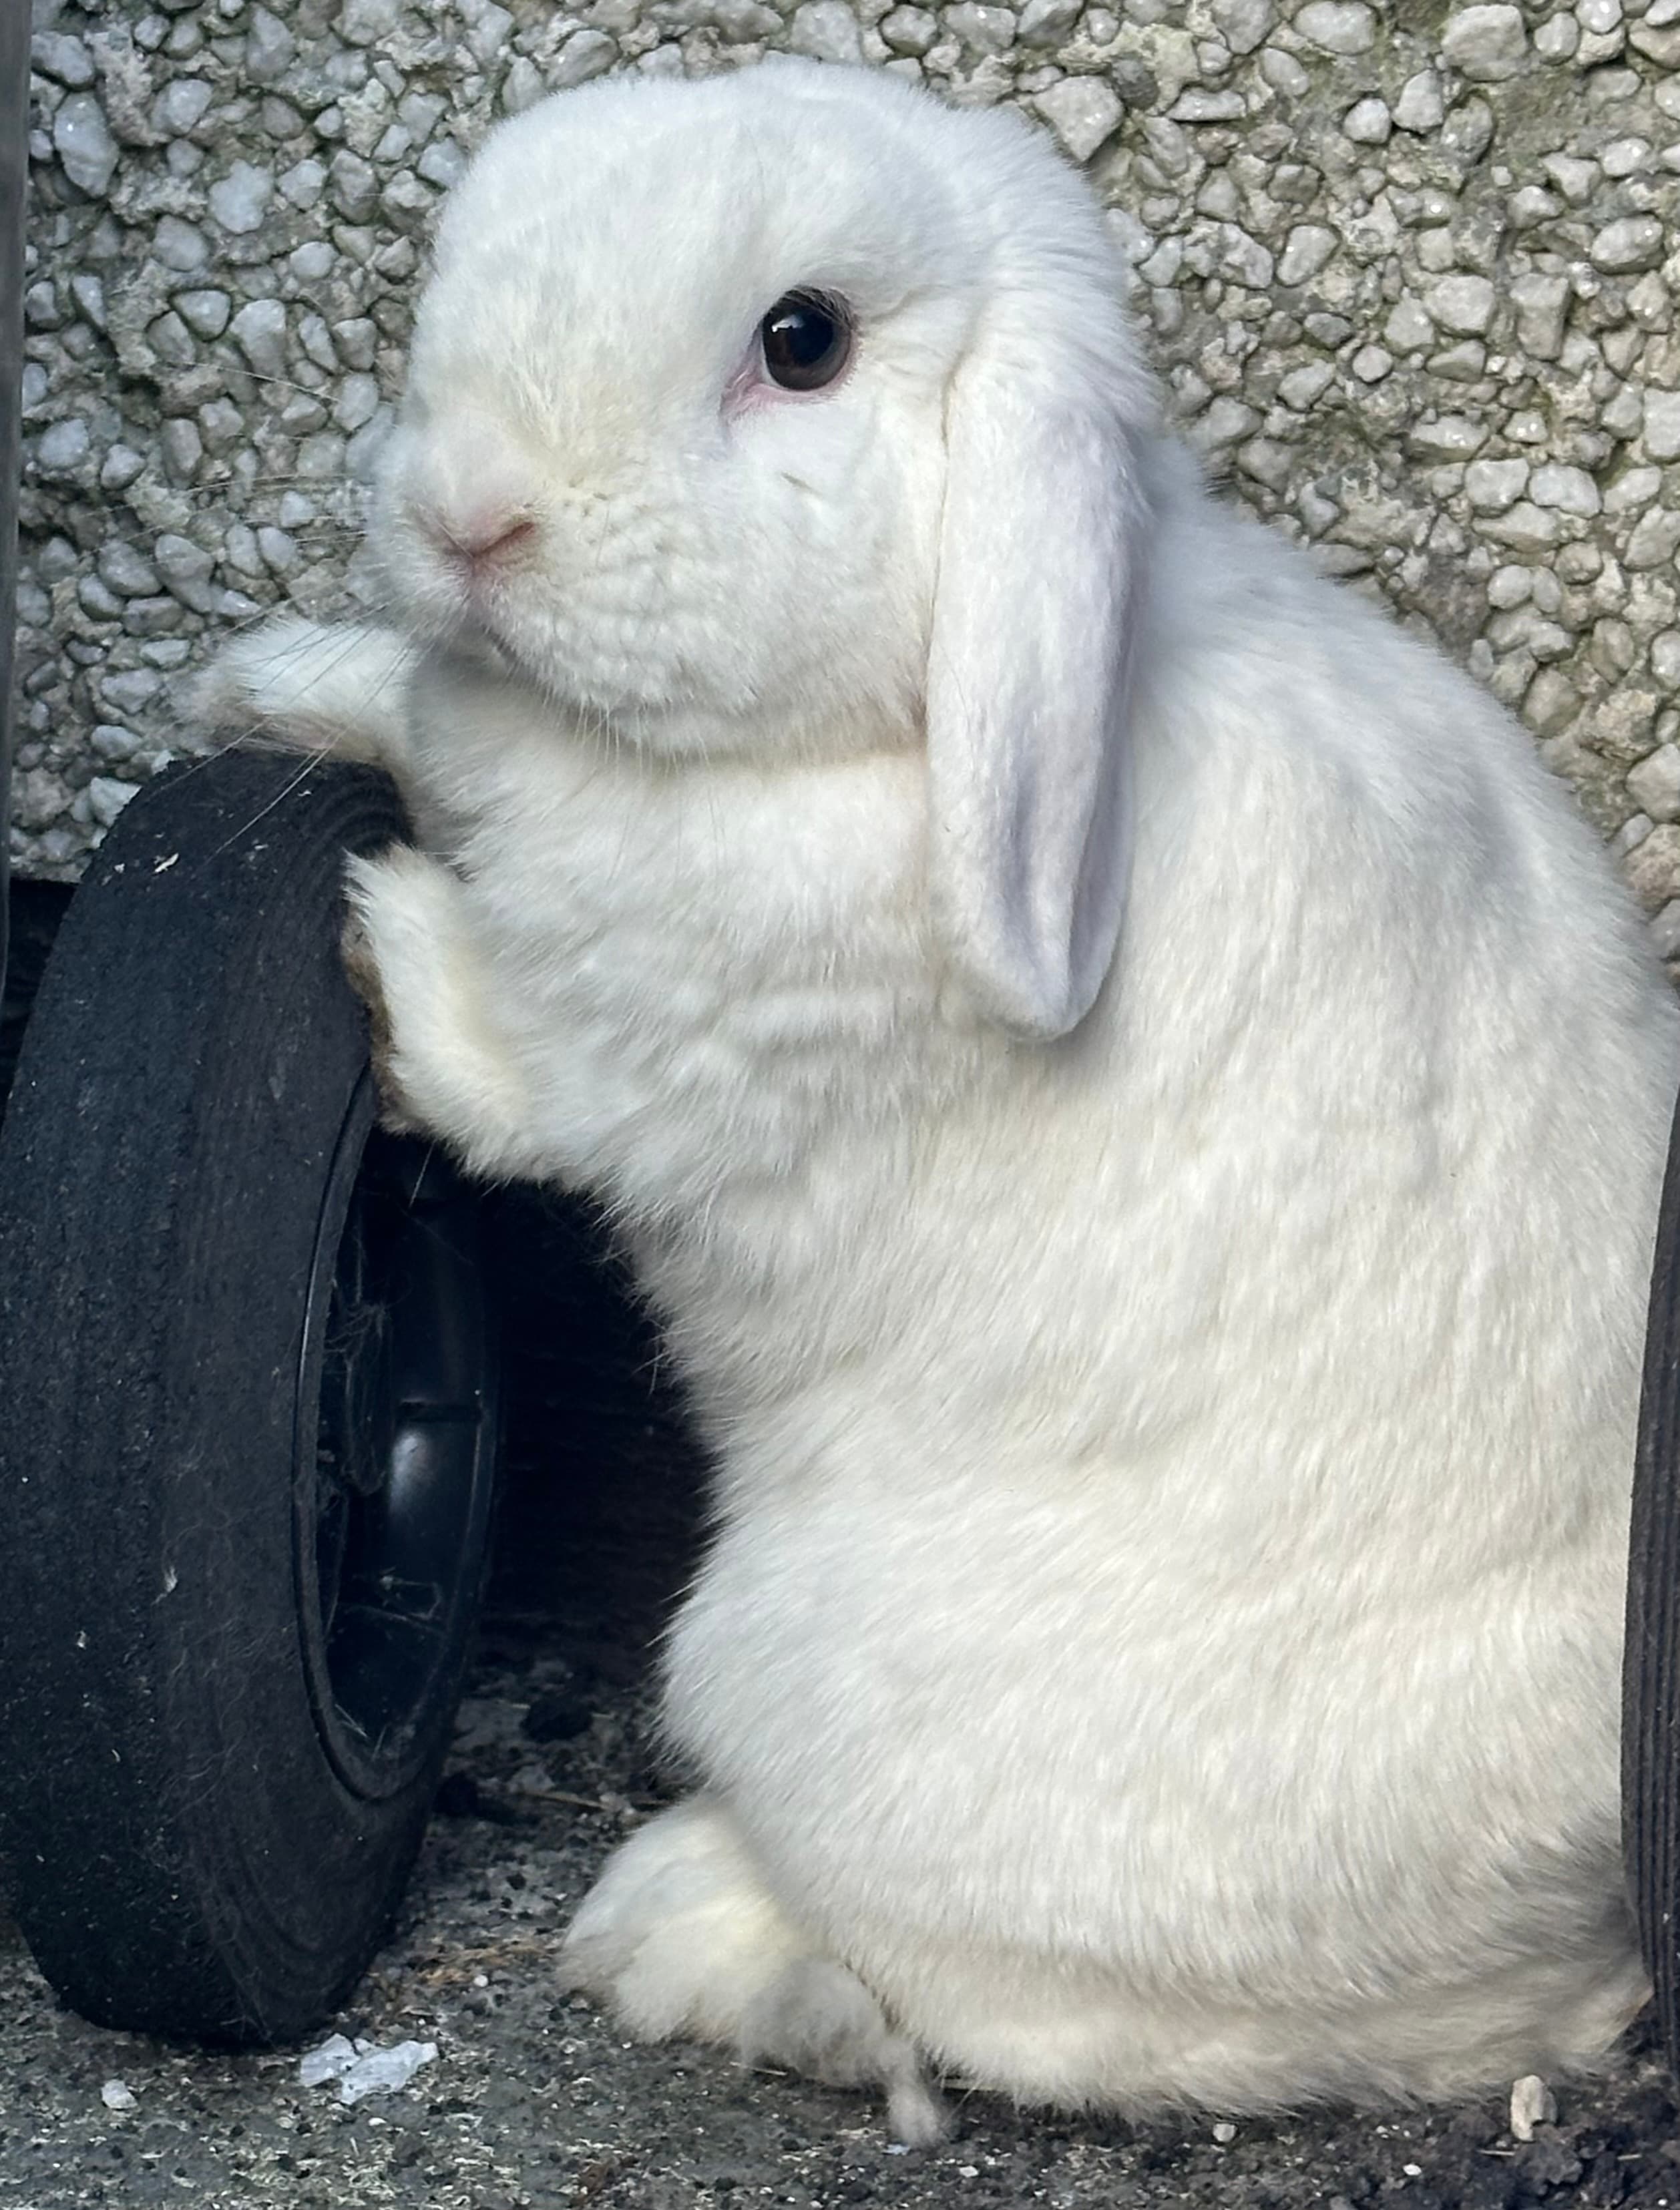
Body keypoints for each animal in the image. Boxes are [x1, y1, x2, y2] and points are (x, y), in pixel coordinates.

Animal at [199, 56, 1680, 2143]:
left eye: (799, 343)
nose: (465, 513)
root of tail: (1569, 1967)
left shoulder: (645, 1048)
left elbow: (514, 1062)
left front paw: (381, 936)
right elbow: (407, 709)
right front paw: (263, 678)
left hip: (824, 1695)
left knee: (1022, 2012)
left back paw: (681, 1938)